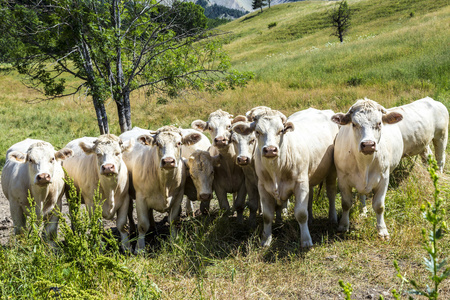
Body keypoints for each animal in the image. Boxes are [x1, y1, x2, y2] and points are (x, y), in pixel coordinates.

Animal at [234, 108, 340, 246]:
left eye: (281, 130)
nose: (270, 150)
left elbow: (301, 214)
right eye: (257, 131)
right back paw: (311, 219)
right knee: (310, 196)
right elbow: (267, 215)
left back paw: (333, 218)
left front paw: (306, 240)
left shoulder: (300, 184)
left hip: (331, 171)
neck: (276, 168)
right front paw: (266, 240)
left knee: (331, 193)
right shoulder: (263, 187)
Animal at [332, 99, 402, 240]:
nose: (368, 145)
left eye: (379, 123)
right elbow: (346, 203)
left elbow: (379, 206)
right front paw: (343, 225)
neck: (365, 164)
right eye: (354, 124)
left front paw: (382, 230)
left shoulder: (384, 180)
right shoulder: (342, 179)